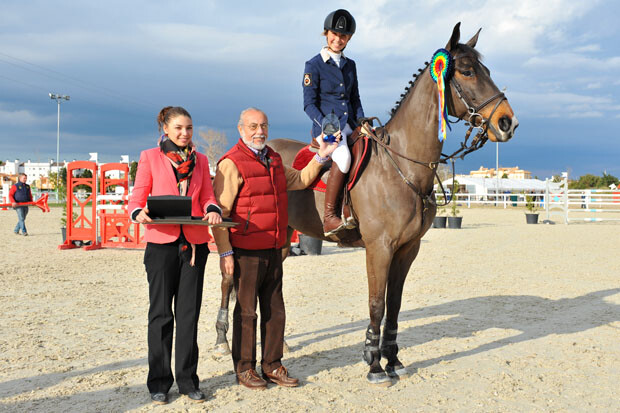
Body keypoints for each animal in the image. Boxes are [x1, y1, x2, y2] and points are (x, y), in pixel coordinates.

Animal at [216, 22, 516, 384]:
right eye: (469, 71)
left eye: (487, 71)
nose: (507, 122)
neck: (401, 165)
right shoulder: (379, 248)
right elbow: (377, 304)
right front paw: (374, 364)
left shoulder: (407, 249)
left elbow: (395, 305)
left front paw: (393, 360)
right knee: (229, 279)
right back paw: (221, 341)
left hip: (283, 238)